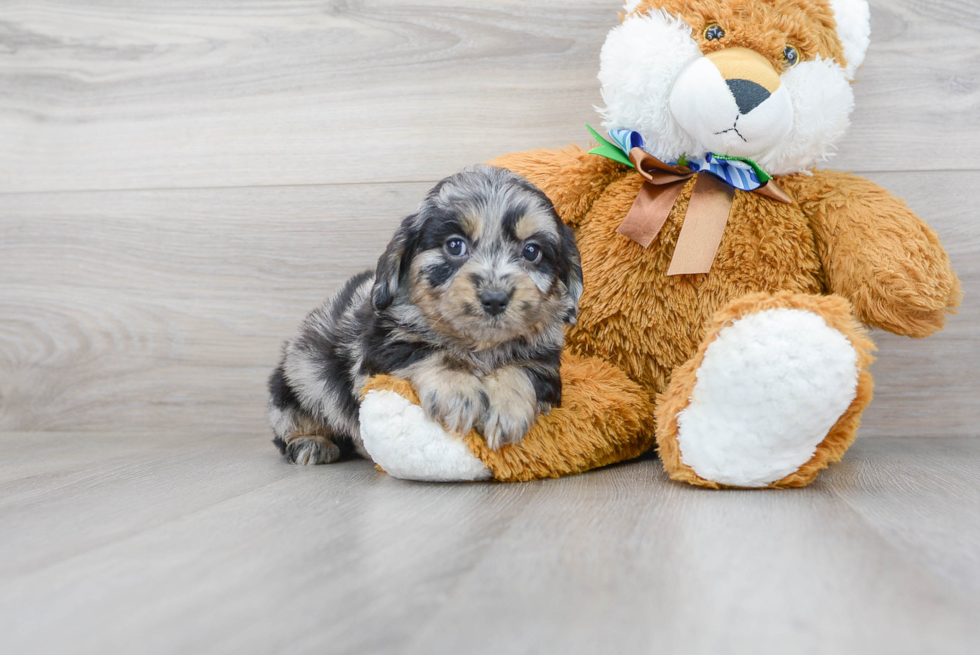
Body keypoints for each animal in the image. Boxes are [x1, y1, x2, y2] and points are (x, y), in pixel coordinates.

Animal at [268, 167, 580, 468]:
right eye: (455, 246)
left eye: (532, 251)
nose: (495, 298)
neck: (478, 345)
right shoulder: (381, 348)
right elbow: (431, 352)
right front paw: (458, 394)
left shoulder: (545, 361)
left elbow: (521, 368)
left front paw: (506, 408)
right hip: (295, 384)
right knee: (291, 424)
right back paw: (311, 443)